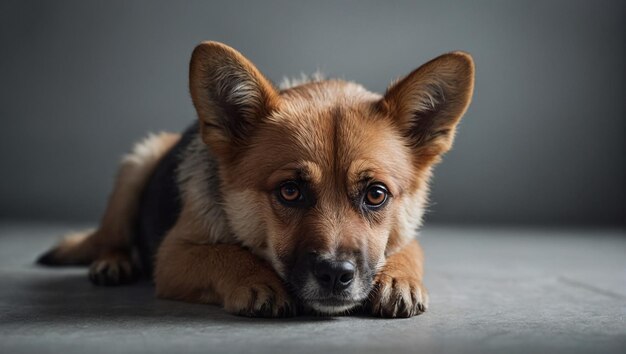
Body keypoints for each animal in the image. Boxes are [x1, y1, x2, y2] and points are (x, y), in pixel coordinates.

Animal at [37, 41, 472, 318]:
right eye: (290, 191)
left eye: (376, 195)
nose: (335, 275)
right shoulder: (173, 255)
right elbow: (224, 253)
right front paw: (255, 279)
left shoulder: (404, 230)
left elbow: (410, 248)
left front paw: (399, 276)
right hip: (138, 162)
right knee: (109, 237)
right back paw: (114, 261)